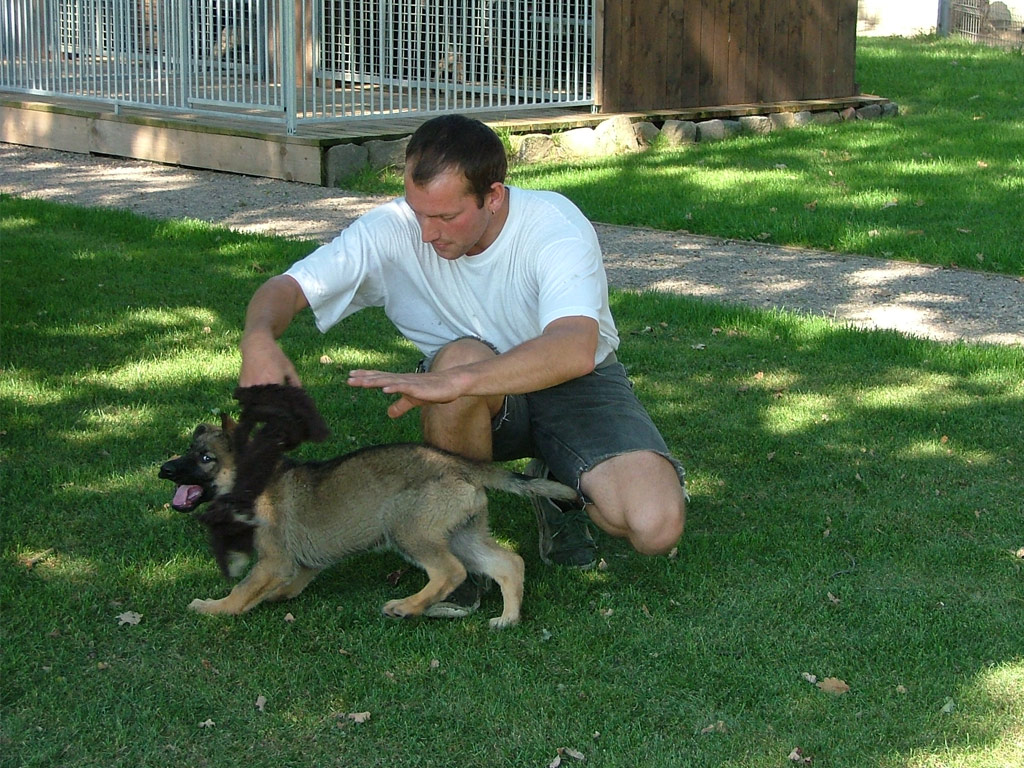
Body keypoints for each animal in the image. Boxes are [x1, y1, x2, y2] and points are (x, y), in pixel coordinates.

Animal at [156, 417, 581, 626]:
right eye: (189, 451)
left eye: (206, 458)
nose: (164, 470)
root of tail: (464, 464)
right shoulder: (302, 562)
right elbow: (282, 586)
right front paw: (273, 597)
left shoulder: (274, 560)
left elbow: (242, 590)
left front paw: (215, 608)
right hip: (463, 534)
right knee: (509, 563)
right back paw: (508, 619)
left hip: (406, 529)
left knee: (450, 572)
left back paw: (407, 607)